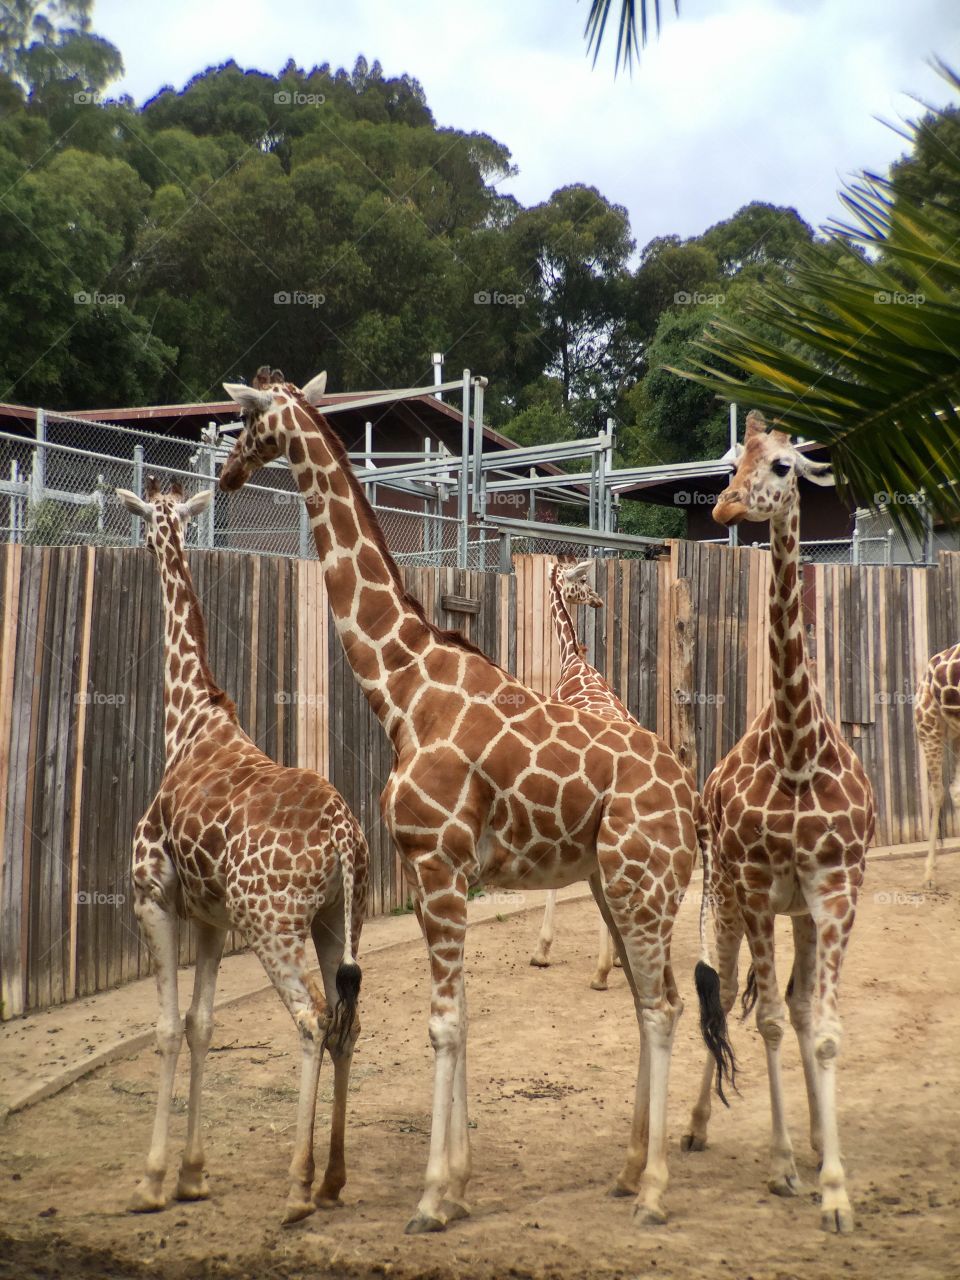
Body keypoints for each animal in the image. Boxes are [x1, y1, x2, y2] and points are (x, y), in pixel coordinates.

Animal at [113, 478, 368, 1218]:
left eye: (147, 525)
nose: (144, 541)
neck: (190, 721)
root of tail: (345, 838)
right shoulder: (210, 918)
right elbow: (202, 1024)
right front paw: (193, 1176)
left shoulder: (152, 900)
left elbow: (169, 1027)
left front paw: (151, 1182)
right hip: (336, 919)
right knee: (346, 1021)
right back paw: (333, 1179)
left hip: (273, 923)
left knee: (312, 1020)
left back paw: (297, 1189)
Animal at [220, 368, 737, 1228]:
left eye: (247, 421)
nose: (227, 474)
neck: (401, 688)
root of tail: (687, 799)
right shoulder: (445, 872)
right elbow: (459, 1017)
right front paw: (458, 1183)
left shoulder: (435, 862)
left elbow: (442, 1023)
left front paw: (433, 1197)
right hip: (618, 884)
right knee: (649, 1000)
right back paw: (629, 1169)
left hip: (640, 882)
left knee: (663, 1007)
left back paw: (654, 1191)